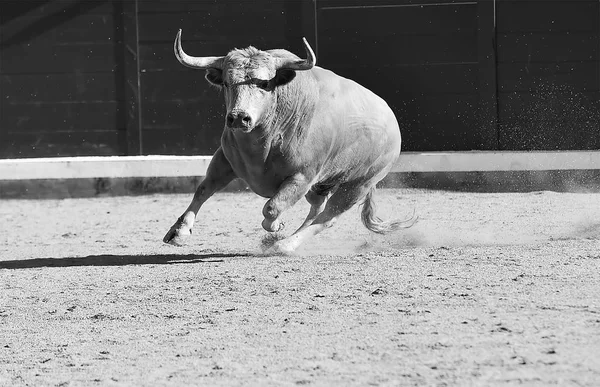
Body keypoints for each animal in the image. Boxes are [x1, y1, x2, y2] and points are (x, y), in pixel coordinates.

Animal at [163, 30, 412, 255]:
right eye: (226, 83)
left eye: (264, 84)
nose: (239, 117)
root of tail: (392, 122)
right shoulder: (225, 160)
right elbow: (204, 189)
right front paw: (178, 231)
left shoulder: (302, 176)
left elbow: (272, 208)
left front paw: (276, 227)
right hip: (323, 185)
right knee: (317, 209)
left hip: (358, 185)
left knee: (327, 217)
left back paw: (284, 245)